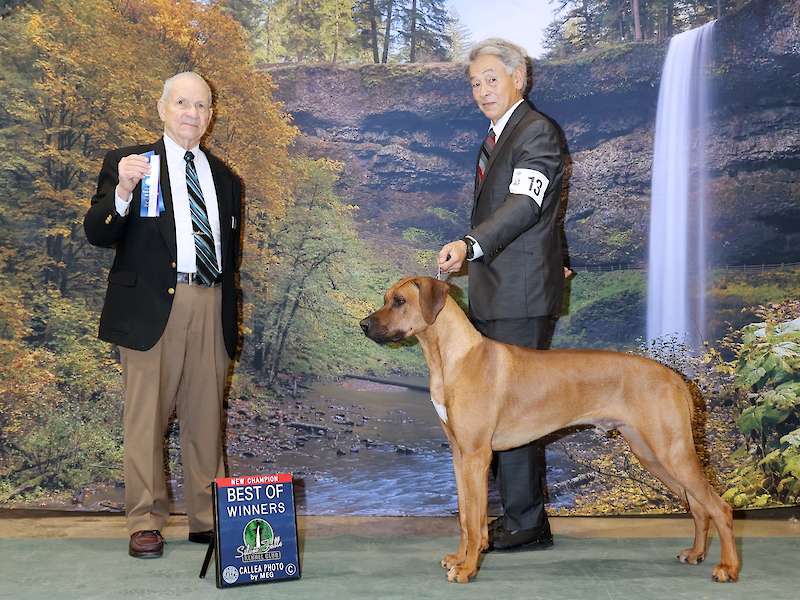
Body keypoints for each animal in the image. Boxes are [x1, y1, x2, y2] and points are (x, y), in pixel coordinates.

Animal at [360, 278, 740, 584]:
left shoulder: (476, 455)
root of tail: (676, 378)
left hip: (672, 451)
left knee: (719, 507)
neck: (451, 356)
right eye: (385, 298)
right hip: (651, 455)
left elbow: (474, 518)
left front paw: (467, 569)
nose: (363, 324)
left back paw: (727, 568)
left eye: (400, 301)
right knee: (699, 507)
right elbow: (466, 517)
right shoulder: (458, 454)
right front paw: (459, 558)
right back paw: (695, 553)